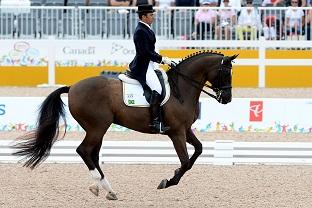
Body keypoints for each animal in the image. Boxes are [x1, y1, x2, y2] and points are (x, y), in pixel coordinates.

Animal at [11, 50, 236, 200]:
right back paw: (104, 187)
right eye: (226, 72)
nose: (227, 99)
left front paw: (171, 177)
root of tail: (72, 87)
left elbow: (198, 150)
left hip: (97, 128)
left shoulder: (185, 129)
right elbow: (186, 161)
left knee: (93, 154)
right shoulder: (176, 132)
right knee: (84, 150)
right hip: (97, 127)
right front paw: (167, 182)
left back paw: (105, 189)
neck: (181, 88)